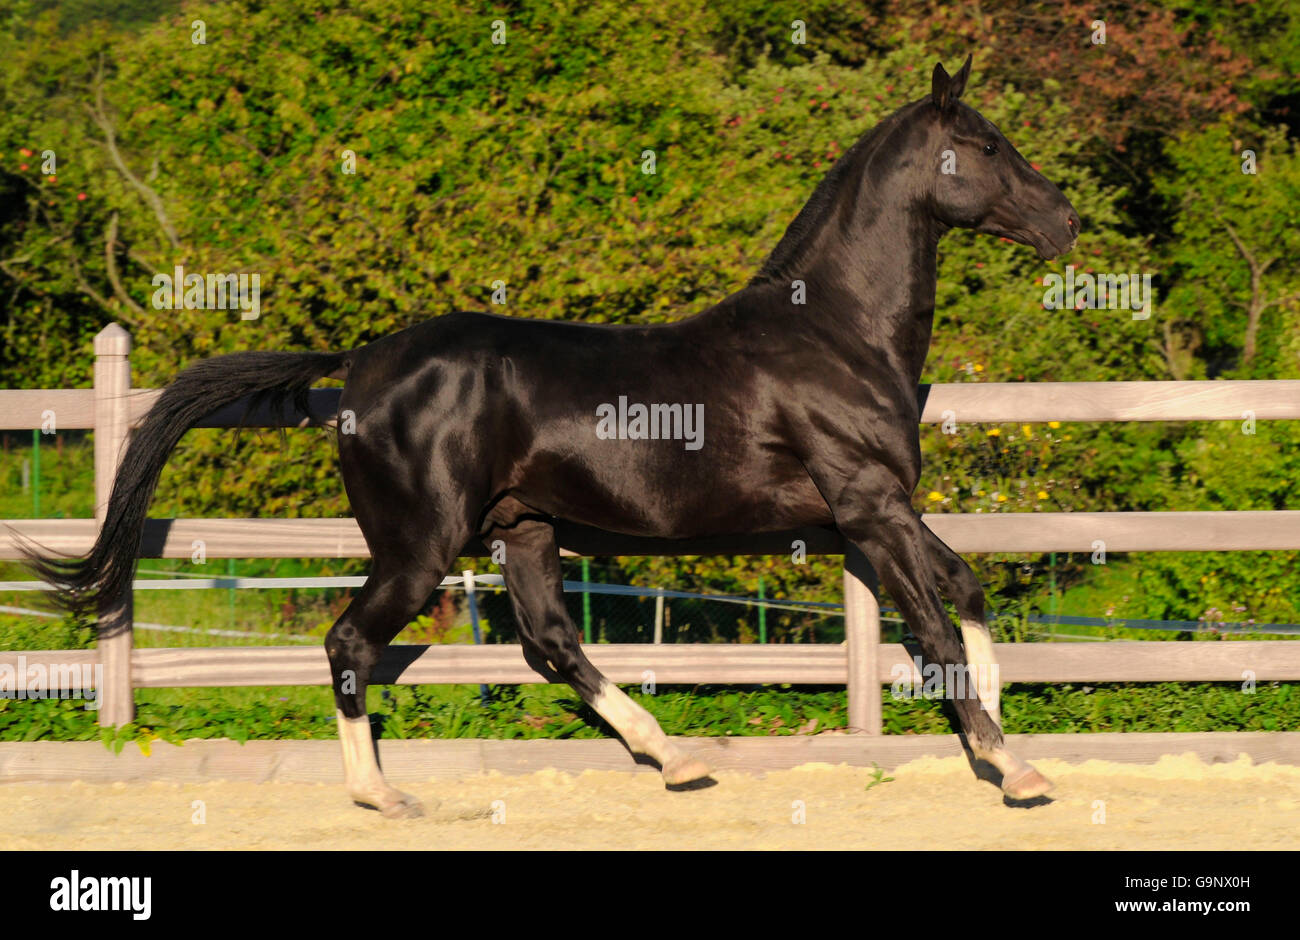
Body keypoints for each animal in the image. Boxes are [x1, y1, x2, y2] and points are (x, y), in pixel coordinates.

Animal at [35, 56, 1081, 816]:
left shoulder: (868, 513)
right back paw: (382, 795)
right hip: (420, 548)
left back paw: (674, 758)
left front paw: (1003, 740)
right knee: (350, 642)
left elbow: (966, 590)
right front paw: (1014, 768)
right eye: (986, 145)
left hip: (523, 528)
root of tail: (363, 363)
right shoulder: (867, 507)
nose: (1067, 221)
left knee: (549, 641)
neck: (833, 332)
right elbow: (935, 625)